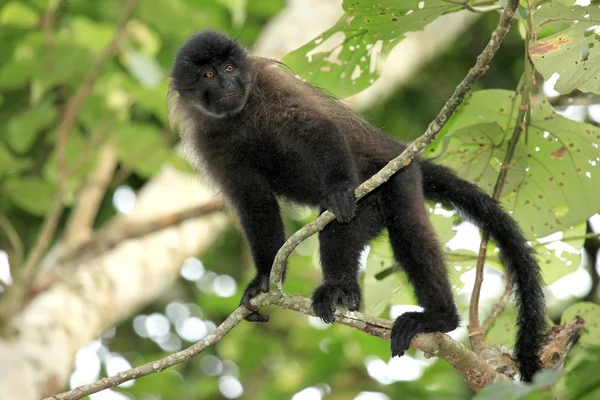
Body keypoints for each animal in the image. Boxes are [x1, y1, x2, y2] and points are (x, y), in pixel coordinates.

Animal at [166, 30, 548, 382]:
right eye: (209, 74)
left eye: (229, 67)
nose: (227, 81)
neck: (238, 116)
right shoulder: (208, 140)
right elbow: (253, 203)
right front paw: (263, 281)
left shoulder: (269, 86)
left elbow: (319, 128)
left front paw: (337, 189)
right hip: (369, 210)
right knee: (338, 231)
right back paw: (343, 293)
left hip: (396, 177)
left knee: (404, 228)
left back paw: (438, 317)